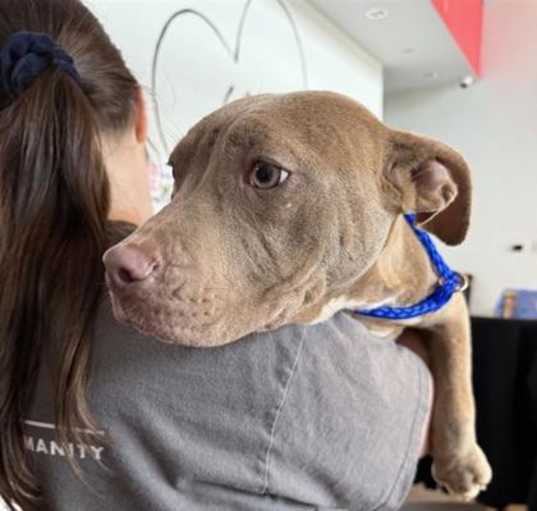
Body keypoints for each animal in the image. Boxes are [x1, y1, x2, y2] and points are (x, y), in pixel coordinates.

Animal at [103, 91, 490, 500]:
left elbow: (458, 376)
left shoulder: (448, 301)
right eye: (176, 171)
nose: (114, 265)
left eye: (266, 174)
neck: (356, 301)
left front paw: (462, 462)